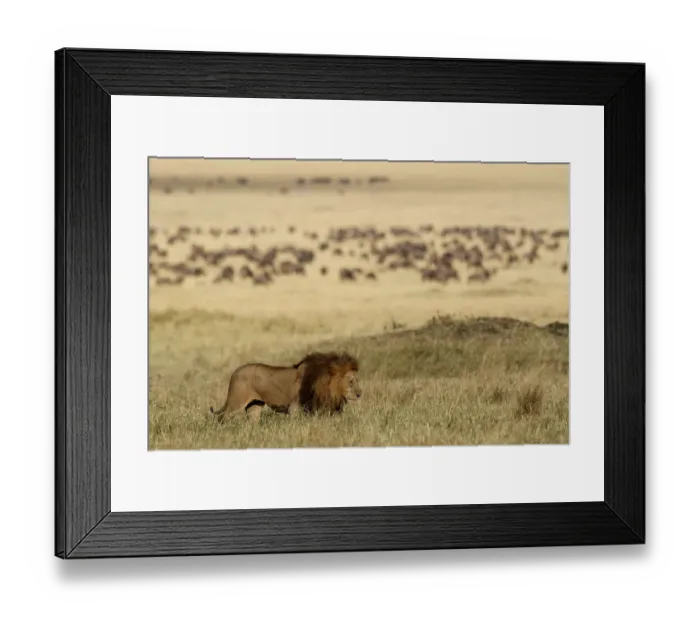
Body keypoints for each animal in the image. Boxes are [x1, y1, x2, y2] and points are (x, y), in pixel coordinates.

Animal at [209, 351, 362, 423]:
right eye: (351, 381)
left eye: (357, 380)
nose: (360, 394)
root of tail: (235, 371)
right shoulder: (295, 408)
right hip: (236, 402)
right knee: (222, 417)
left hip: (255, 405)